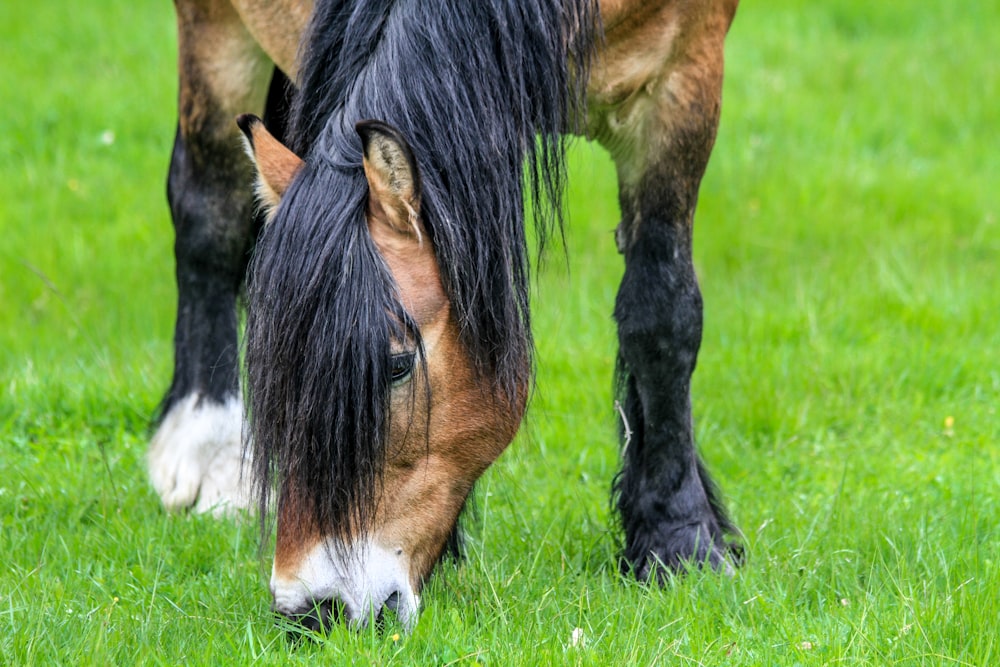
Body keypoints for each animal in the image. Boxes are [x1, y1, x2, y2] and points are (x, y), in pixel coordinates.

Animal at [148, 0, 744, 632]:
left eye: (396, 365)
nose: (311, 610)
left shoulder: (682, 85)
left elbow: (662, 316)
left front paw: (680, 540)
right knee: (209, 214)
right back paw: (203, 444)